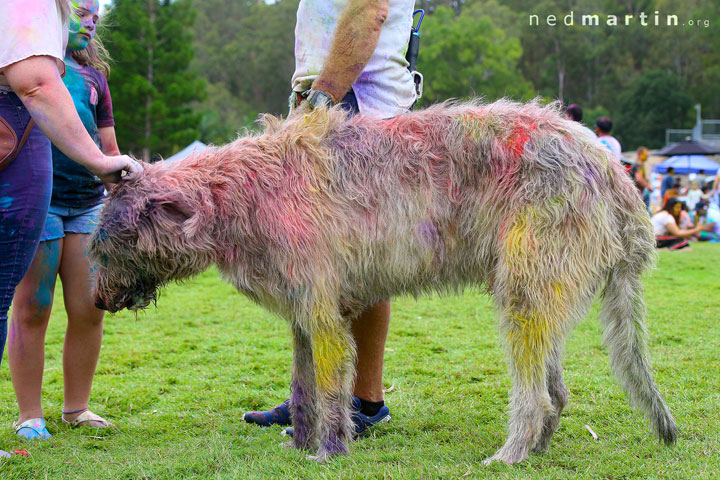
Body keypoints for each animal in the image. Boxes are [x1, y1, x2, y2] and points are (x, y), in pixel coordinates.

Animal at [88, 99, 676, 464]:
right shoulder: (303, 311)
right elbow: (302, 382)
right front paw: (300, 444)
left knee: (537, 396)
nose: (96, 300)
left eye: (110, 245)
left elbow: (328, 383)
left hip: (529, 282)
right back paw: (537, 448)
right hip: (542, 288)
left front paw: (329, 450)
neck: (238, 193)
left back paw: (512, 451)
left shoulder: (323, 310)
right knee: (557, 390)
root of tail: (614, 172)